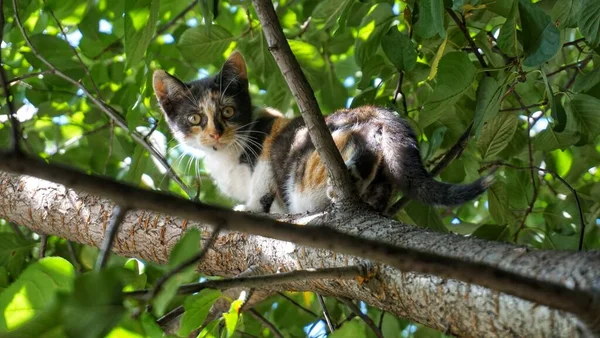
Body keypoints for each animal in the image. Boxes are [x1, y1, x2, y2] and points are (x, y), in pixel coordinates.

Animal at [151, 51, 492, 213]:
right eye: (195, 118)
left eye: (228, 112)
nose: (215, 134)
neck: (226, 157)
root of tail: (371, 110)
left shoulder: (269, 145)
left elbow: (262, 181)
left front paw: (251, 207)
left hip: (314, 154)